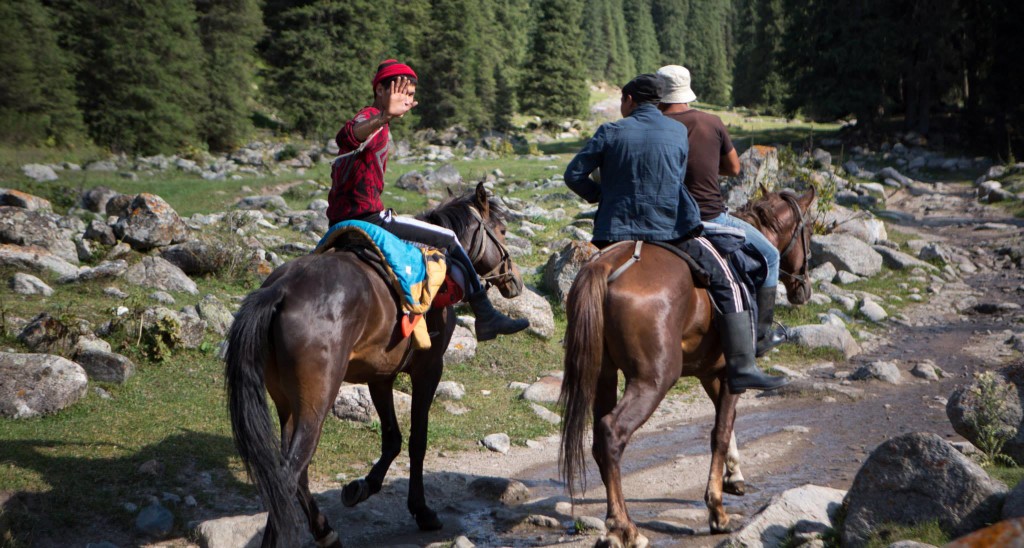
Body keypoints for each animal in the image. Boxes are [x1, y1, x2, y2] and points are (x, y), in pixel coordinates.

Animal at [227, 185, 524, 548]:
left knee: (291, 473)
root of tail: (280, 291)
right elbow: (417, 440)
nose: (515, 281)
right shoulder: (429, 370)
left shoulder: (380, 376)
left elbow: (392, 437)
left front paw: (361, 488)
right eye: (502, 230)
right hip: (315, 403)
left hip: (286, 402)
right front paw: (422, 511)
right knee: (288, 474)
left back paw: (325, 531)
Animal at [557, 186, 811, 544]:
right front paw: (717, 510)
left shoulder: (710, 373)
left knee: (598, 442)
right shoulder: (731, 375)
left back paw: (614, 528)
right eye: (808, 233)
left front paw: (734, 475)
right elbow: (720, 431)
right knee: (612, 433)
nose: (804, 288)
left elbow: (727, 424)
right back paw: (626, 529)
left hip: (604, 376)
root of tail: (608, 266)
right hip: (653, 380)